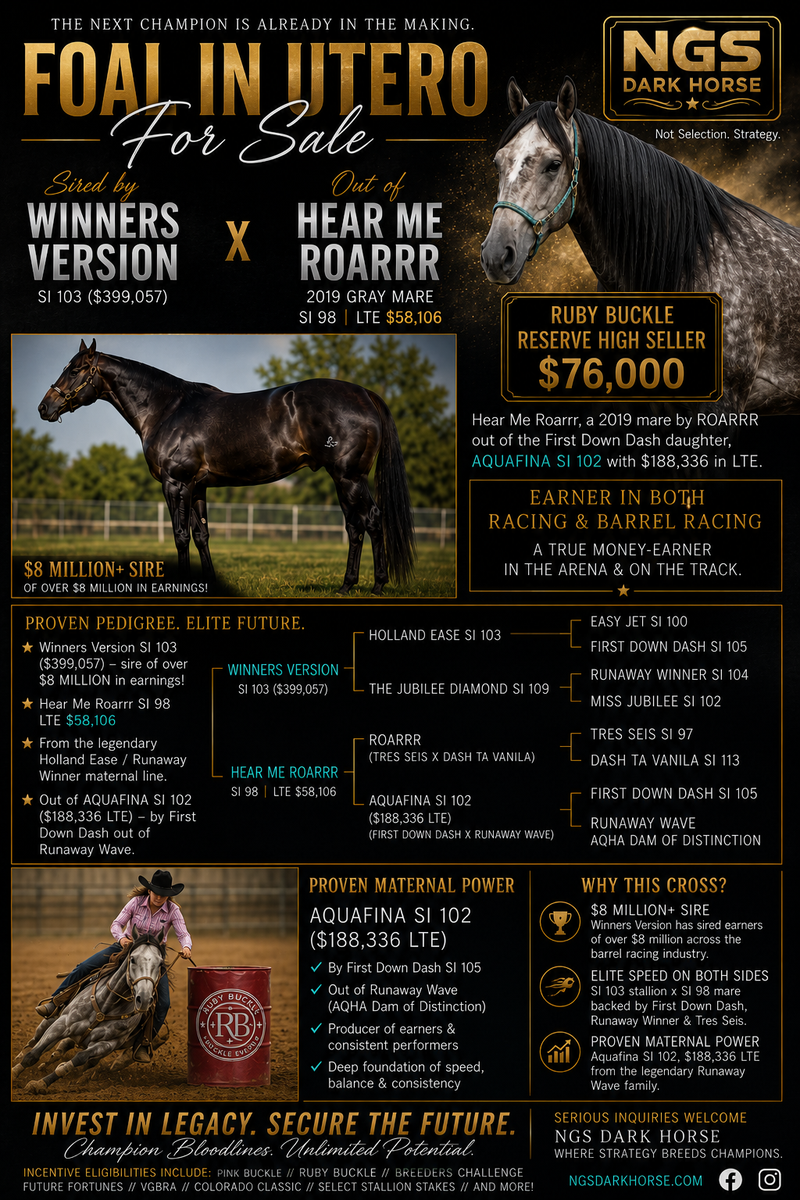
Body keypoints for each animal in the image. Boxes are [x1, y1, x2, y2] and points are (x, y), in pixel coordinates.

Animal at [12, 931, 166, 1092]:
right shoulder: (62, 1024)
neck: (107, 1006)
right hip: (50, 1019)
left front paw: (40, 1083)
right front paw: (14, 1073)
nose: (144, 998)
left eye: (160, 964)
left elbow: (77, 1060)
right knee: (35, 1039)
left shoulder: (106, 1045)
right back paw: (20, 1056)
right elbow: (33, 1055)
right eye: (133, 959)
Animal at [38, 341, 416, 594]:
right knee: (355, 527)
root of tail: (366, 395)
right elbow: (201, 535)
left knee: (372, 521)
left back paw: (376, 585)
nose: (45, 407)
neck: (167, 408)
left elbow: (180, 537)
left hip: (349, 478)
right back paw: (347, 586)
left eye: (75, 370)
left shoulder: (176, 484)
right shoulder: (197, 487)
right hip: (344, 480)